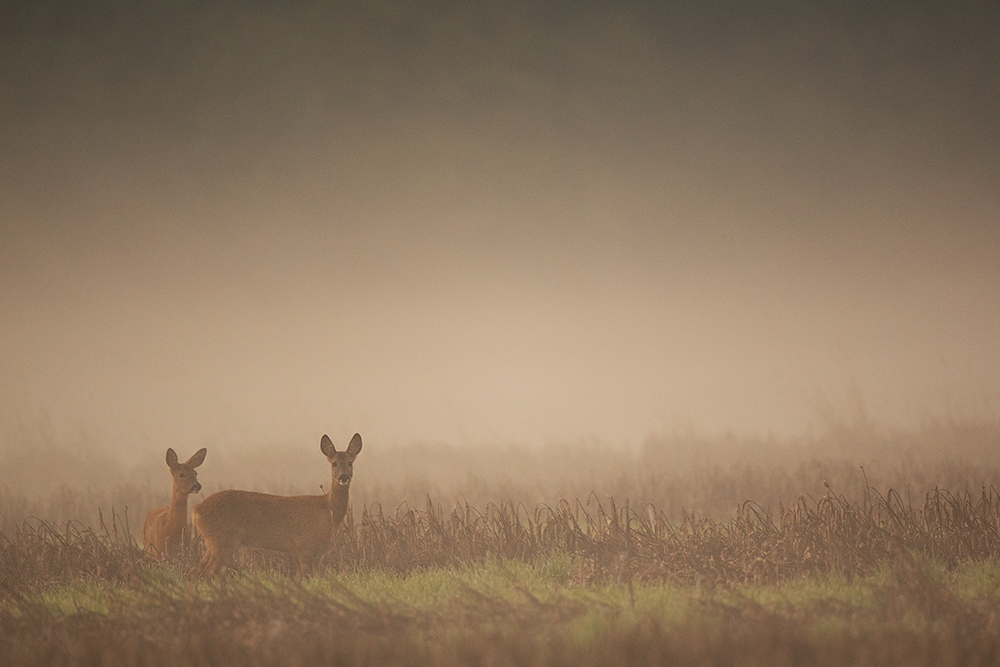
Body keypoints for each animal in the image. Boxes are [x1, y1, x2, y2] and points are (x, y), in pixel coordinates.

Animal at [186, 434, 362, 580]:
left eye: (350, 462)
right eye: (334, 463)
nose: (343, 477)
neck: (327, 511)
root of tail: (196, 509)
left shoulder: (319, 554)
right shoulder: (304, 545)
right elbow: (306, 577)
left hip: (211, 543)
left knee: (193, 573)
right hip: (224, 540)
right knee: (206, 573)